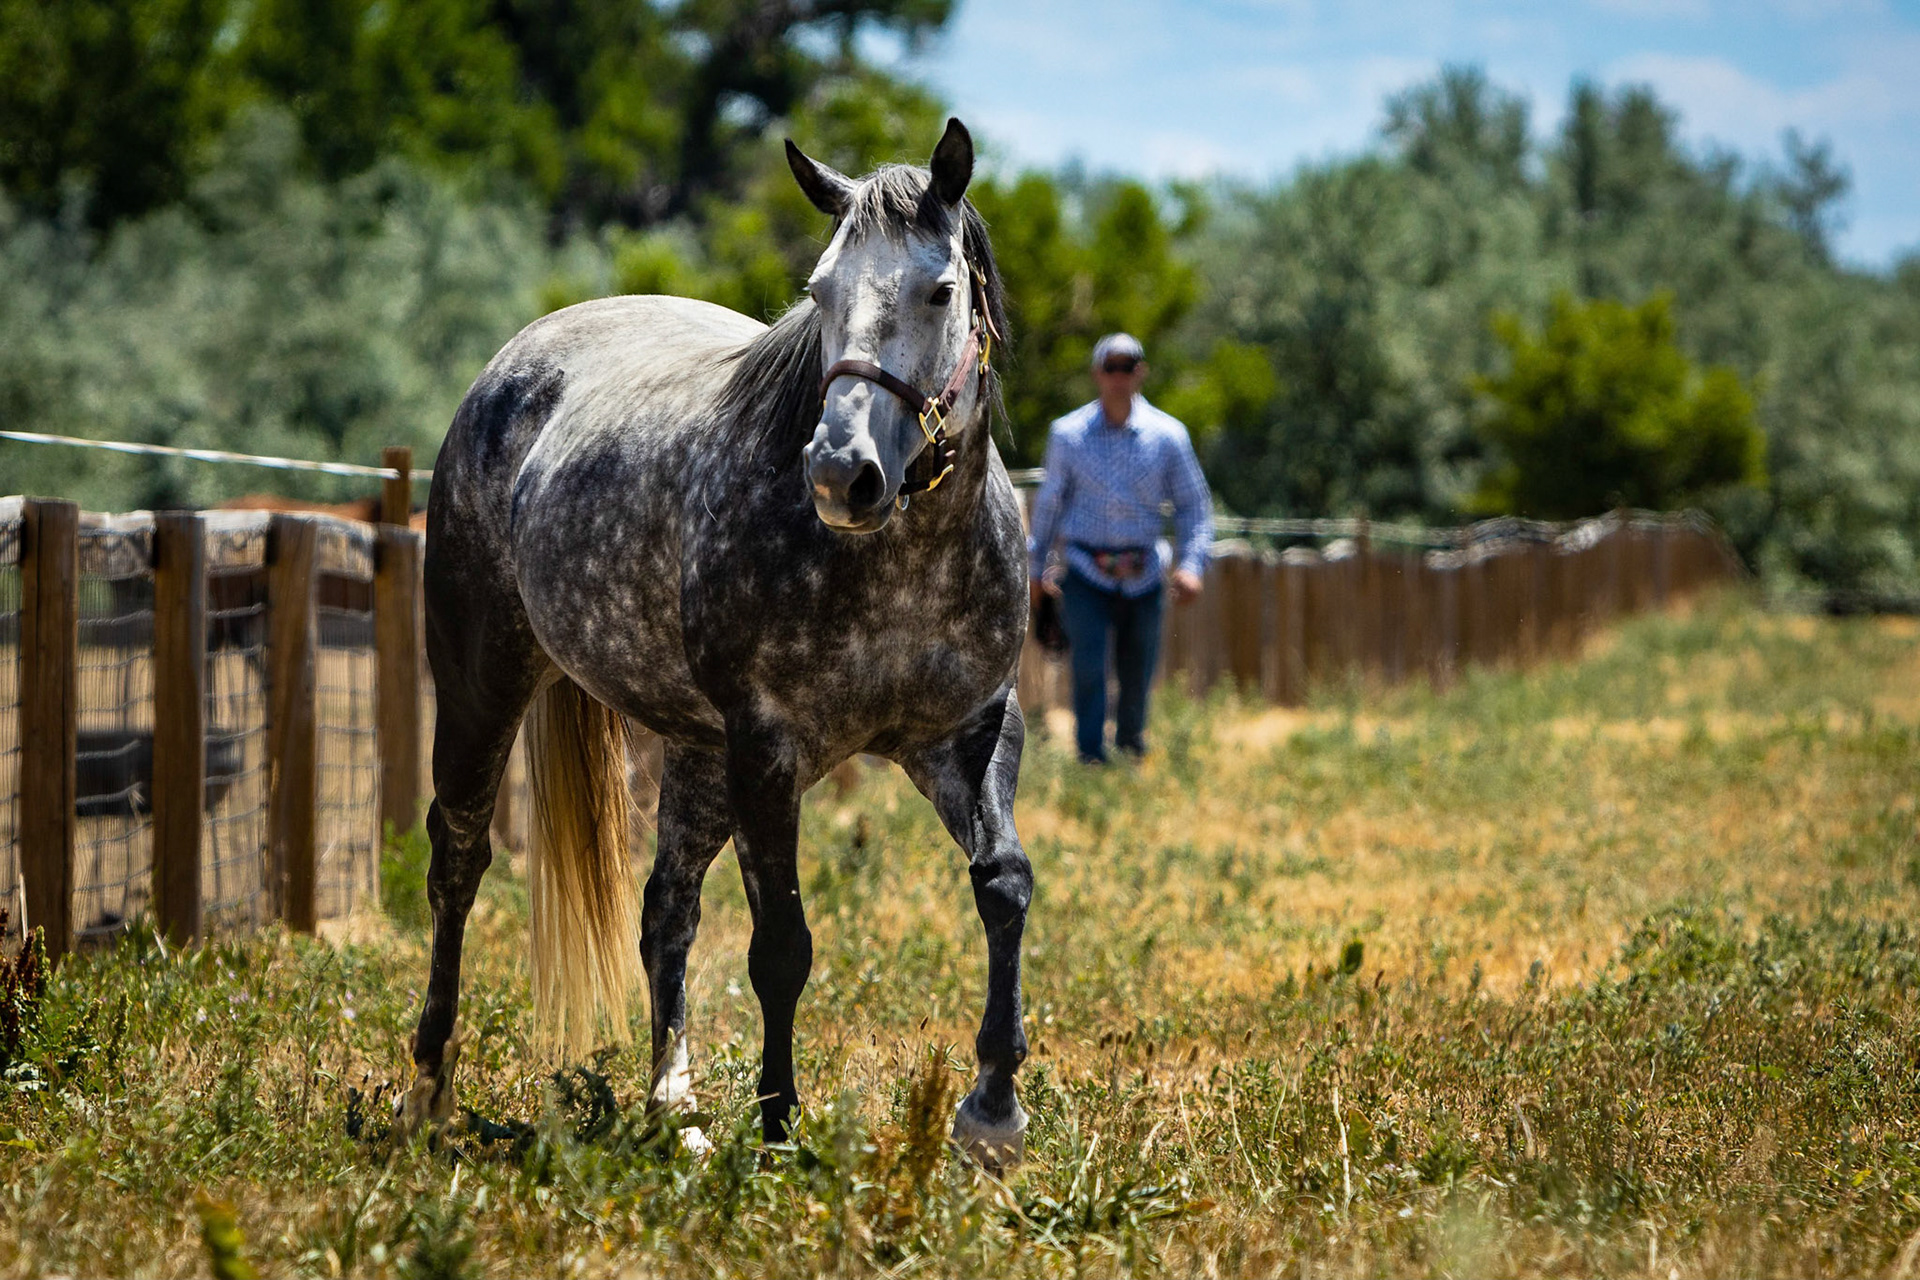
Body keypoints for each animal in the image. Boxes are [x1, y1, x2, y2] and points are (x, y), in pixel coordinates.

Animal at [399, 119, 1034, 1169]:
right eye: (819, 292)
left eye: (939, 291)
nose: (841, 474)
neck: (899, 559)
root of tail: (515, 364)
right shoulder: (768, 752)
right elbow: (782, 947)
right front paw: (778, 1130)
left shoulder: (970, 734)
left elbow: (1004, 886)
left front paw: (993, 1113)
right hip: (482, 680)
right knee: (457, 861)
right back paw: (427, 1089)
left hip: (695, 750)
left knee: (666, 907)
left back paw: (676, 1105)